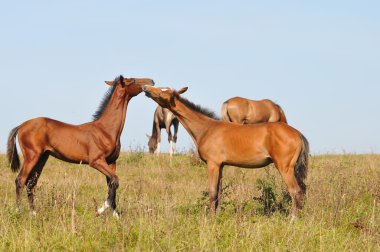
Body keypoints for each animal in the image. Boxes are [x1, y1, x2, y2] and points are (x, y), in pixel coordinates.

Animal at [6, 75, 154, 217]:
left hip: (42, 157)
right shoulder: (96, 161)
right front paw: (100, 210)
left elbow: (112, 184)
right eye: (132, 80)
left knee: (31, 183)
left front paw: (115, 214)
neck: (106, 130)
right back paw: (18, 211)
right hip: (32, 156)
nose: (151, 81)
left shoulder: (111, 162)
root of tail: (21, 126)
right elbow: (115, 181)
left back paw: (33, 213)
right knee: (20, 180)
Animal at [142, 85, 308, 220]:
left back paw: (293, 219)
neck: (206, 128)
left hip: (284, 167)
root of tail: (298, 134)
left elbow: (212, 192)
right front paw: (217, 215)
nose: (145, 88)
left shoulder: (213, 164)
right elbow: (219, 192)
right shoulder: (221, 165)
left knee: (295, 191)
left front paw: (210, 219)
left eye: (162, 93)